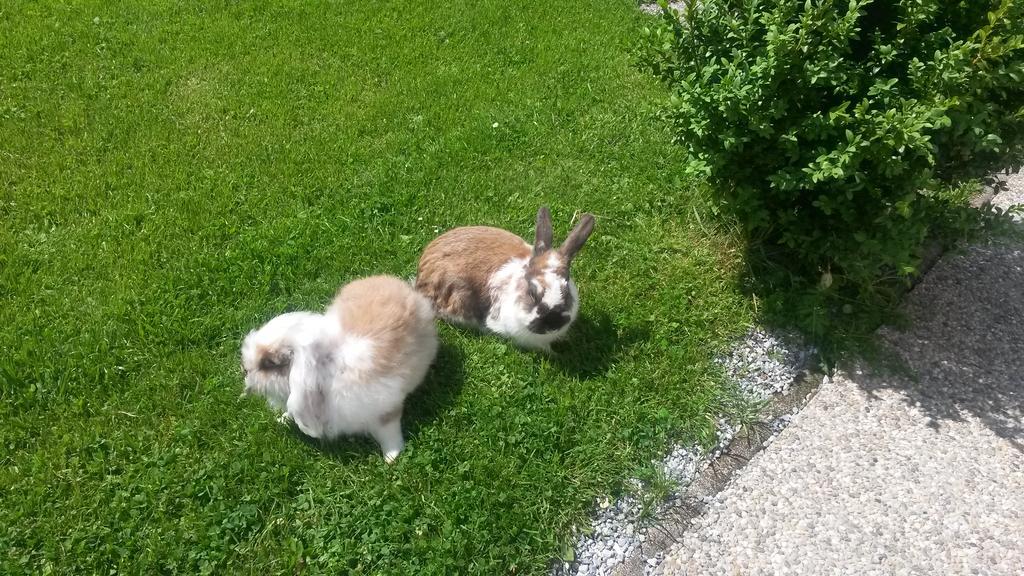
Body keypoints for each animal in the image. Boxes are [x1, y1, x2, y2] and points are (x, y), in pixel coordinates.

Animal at [241, 274, 438, 461]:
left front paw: (391, 457)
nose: (245, 370)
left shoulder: (385, 411)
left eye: (268, 364)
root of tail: (407, 289)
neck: (325, 373)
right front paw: (282, 419)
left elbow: (389, 434)